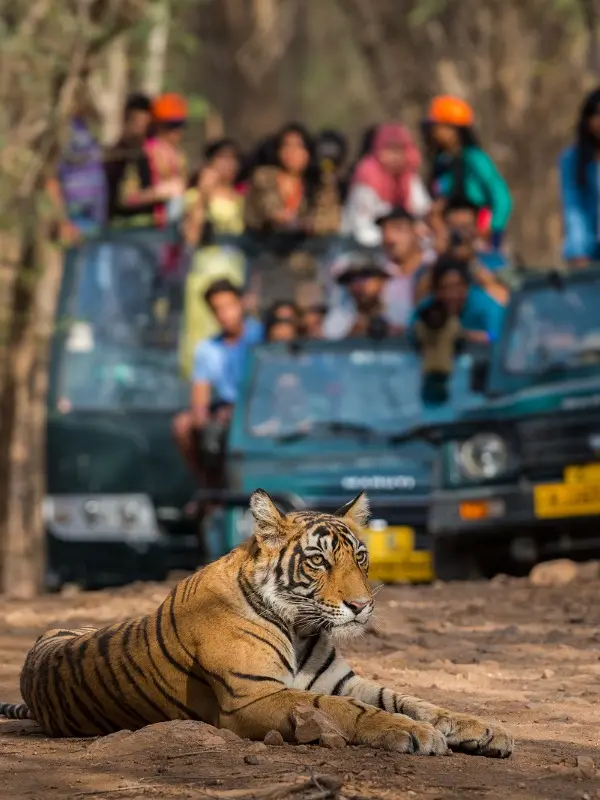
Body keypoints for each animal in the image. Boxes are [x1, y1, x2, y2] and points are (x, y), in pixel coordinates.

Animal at [0, 489, 513, 757]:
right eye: (319, 561)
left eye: (361, 558)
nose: (361, 605)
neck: (301, 627)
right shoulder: (253, 696)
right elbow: (348, 710)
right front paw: (414, 734)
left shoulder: (342, 680)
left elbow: (413, 700)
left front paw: (485, 729)